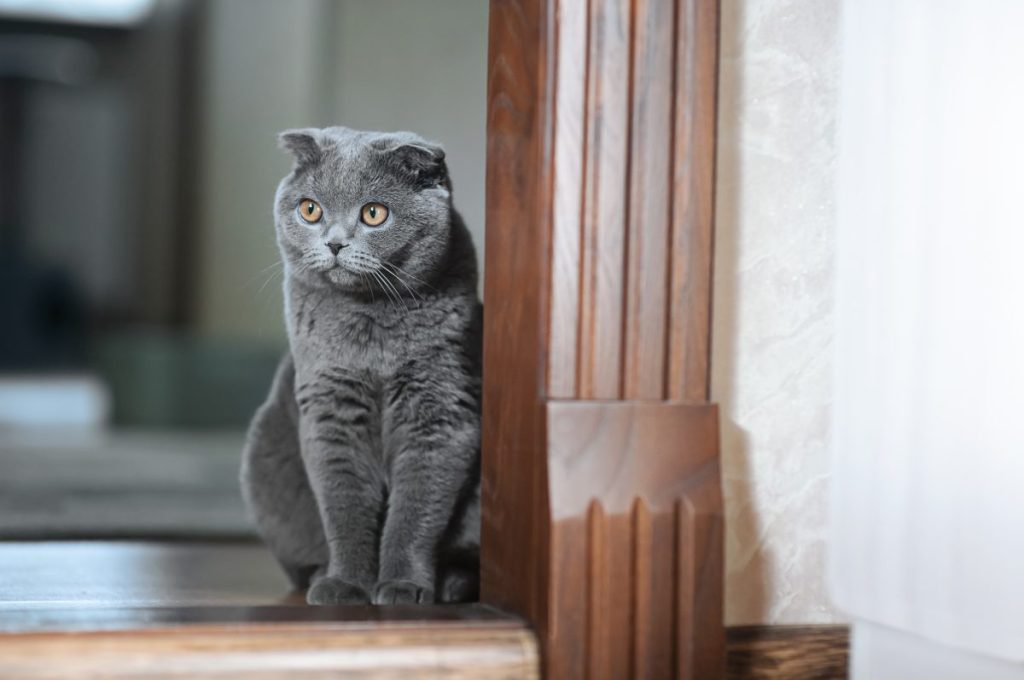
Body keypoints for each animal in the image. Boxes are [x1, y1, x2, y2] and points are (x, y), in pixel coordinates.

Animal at [238, 125, 479, 606]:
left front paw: (403, 586)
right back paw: (318, 575)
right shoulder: (331, 408)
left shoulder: (439, 412)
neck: (371, 327)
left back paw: (454, 582)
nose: (334, 242)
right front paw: (346, 585)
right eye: (310, 209)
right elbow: (344, 505)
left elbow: (415, 511)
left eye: (373, 214)